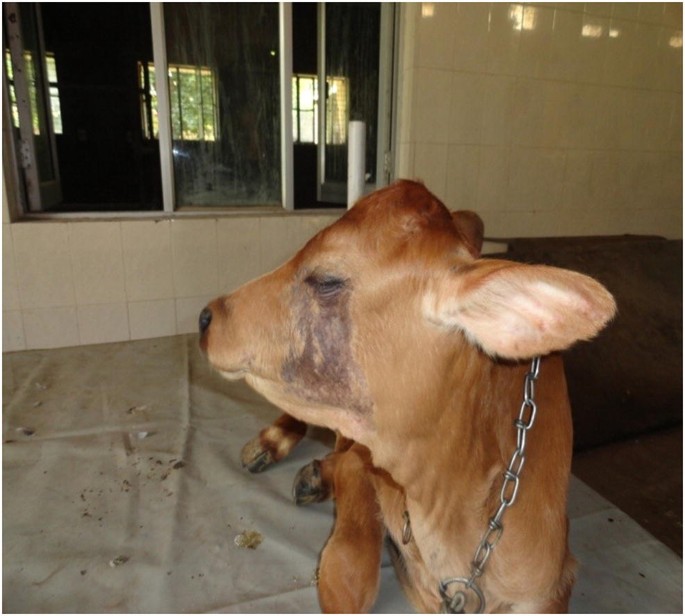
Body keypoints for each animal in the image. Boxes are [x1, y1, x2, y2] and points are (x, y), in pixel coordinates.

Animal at [199, 180, 616, 613]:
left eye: (327, 280)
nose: (206, 317)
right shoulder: (363, 462)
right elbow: (351, 572)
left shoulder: (548, 590)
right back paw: (271, 445)